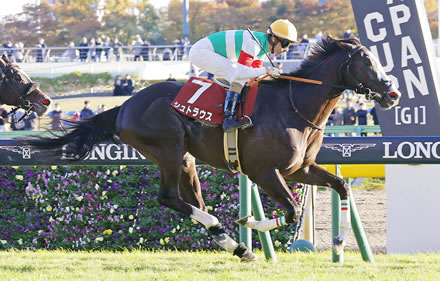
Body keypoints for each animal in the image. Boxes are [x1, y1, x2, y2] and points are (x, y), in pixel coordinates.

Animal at [26, 37, 398, 260]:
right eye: (366, 62)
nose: (392, 94)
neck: (294, 107)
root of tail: (125, 105)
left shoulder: (300, 168)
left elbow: (341, 185)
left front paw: (339, 242)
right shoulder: (264, 172)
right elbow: (292, 209)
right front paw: (253, 223)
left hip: (186, 159)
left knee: (193, 202)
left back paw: (231, 242)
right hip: (169, 150)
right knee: (169, 198)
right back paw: (232, 238)